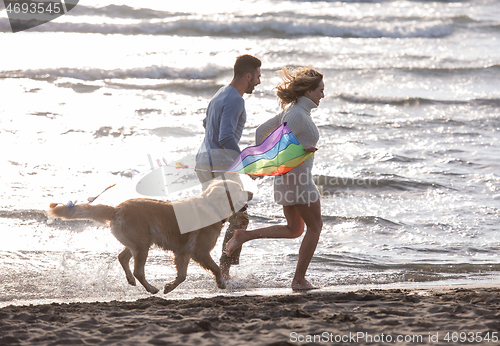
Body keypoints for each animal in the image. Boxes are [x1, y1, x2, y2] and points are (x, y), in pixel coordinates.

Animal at [47, 178, 254, 294]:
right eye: (239, 189)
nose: (251, 192)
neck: (212, 206)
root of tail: (117, 208)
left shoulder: (182, 253)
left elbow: (182, 276)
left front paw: (170, 287)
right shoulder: (199, 252)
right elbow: (216, 268)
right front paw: (221, 283)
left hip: (138, 243)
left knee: (122, 257)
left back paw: (131, 280)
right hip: (142, 245)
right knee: (138, 270)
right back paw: (150, 288)